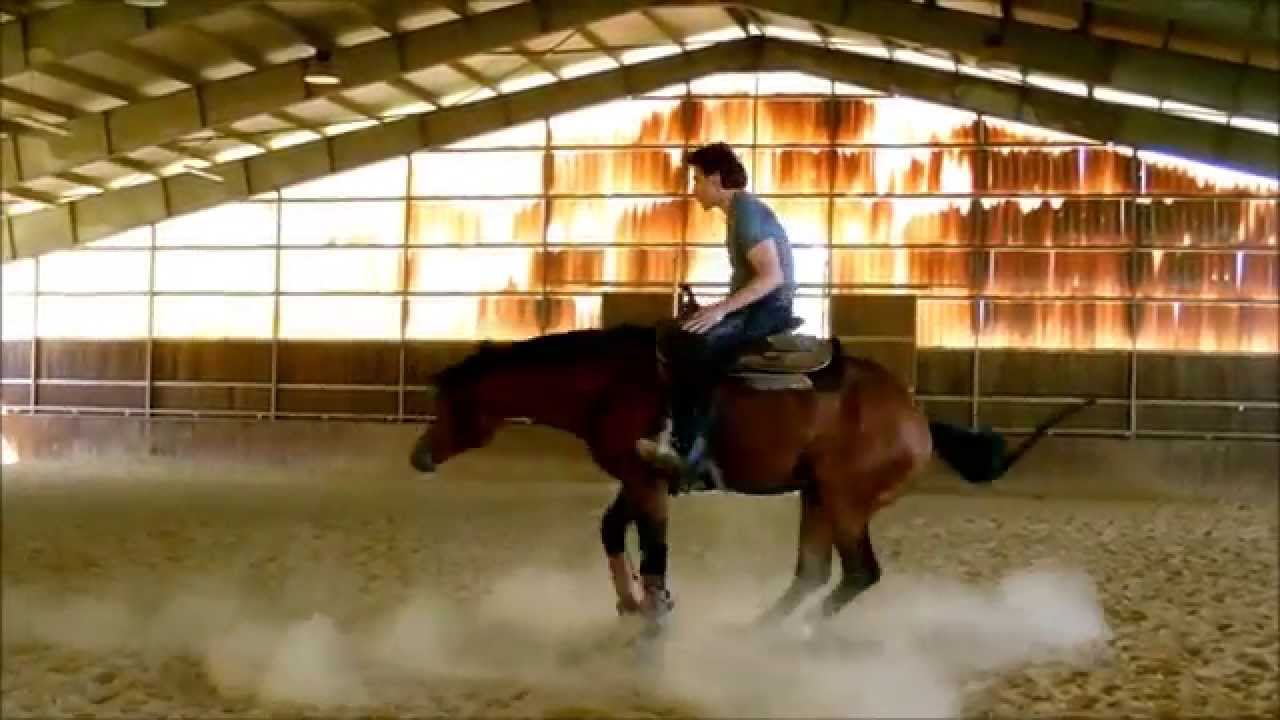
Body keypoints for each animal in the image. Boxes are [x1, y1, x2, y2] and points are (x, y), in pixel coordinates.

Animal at [408, 288, 1091, 634]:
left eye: (451, 403)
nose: (418, 457)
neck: (610, 382)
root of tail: (917, 417)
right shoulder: (637, 479)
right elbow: (609, 530)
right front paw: (630, 604)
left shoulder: (649, 483)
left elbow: (653, 552)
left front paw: (652, 618)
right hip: (816, 496)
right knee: (814, 573)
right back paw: (760, 632)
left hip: (845, 500)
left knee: (859, 573)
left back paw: (801, 644)